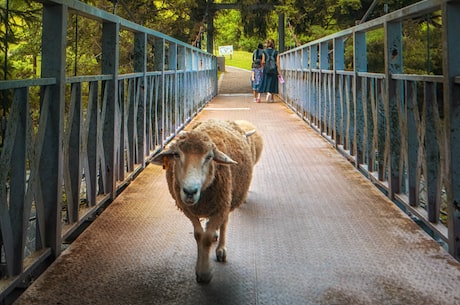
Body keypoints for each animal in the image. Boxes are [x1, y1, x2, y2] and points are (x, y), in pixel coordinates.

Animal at [152, 119, 262, 282]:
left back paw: (221, 247)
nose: (190, 191)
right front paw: (201, 271)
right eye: (176, 154)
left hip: (227, 200)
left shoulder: (221, 206)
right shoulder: (188, 209)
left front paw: (205, 273)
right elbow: (199, 235)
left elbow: (208, 237)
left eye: (209, 157)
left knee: (224, 223)